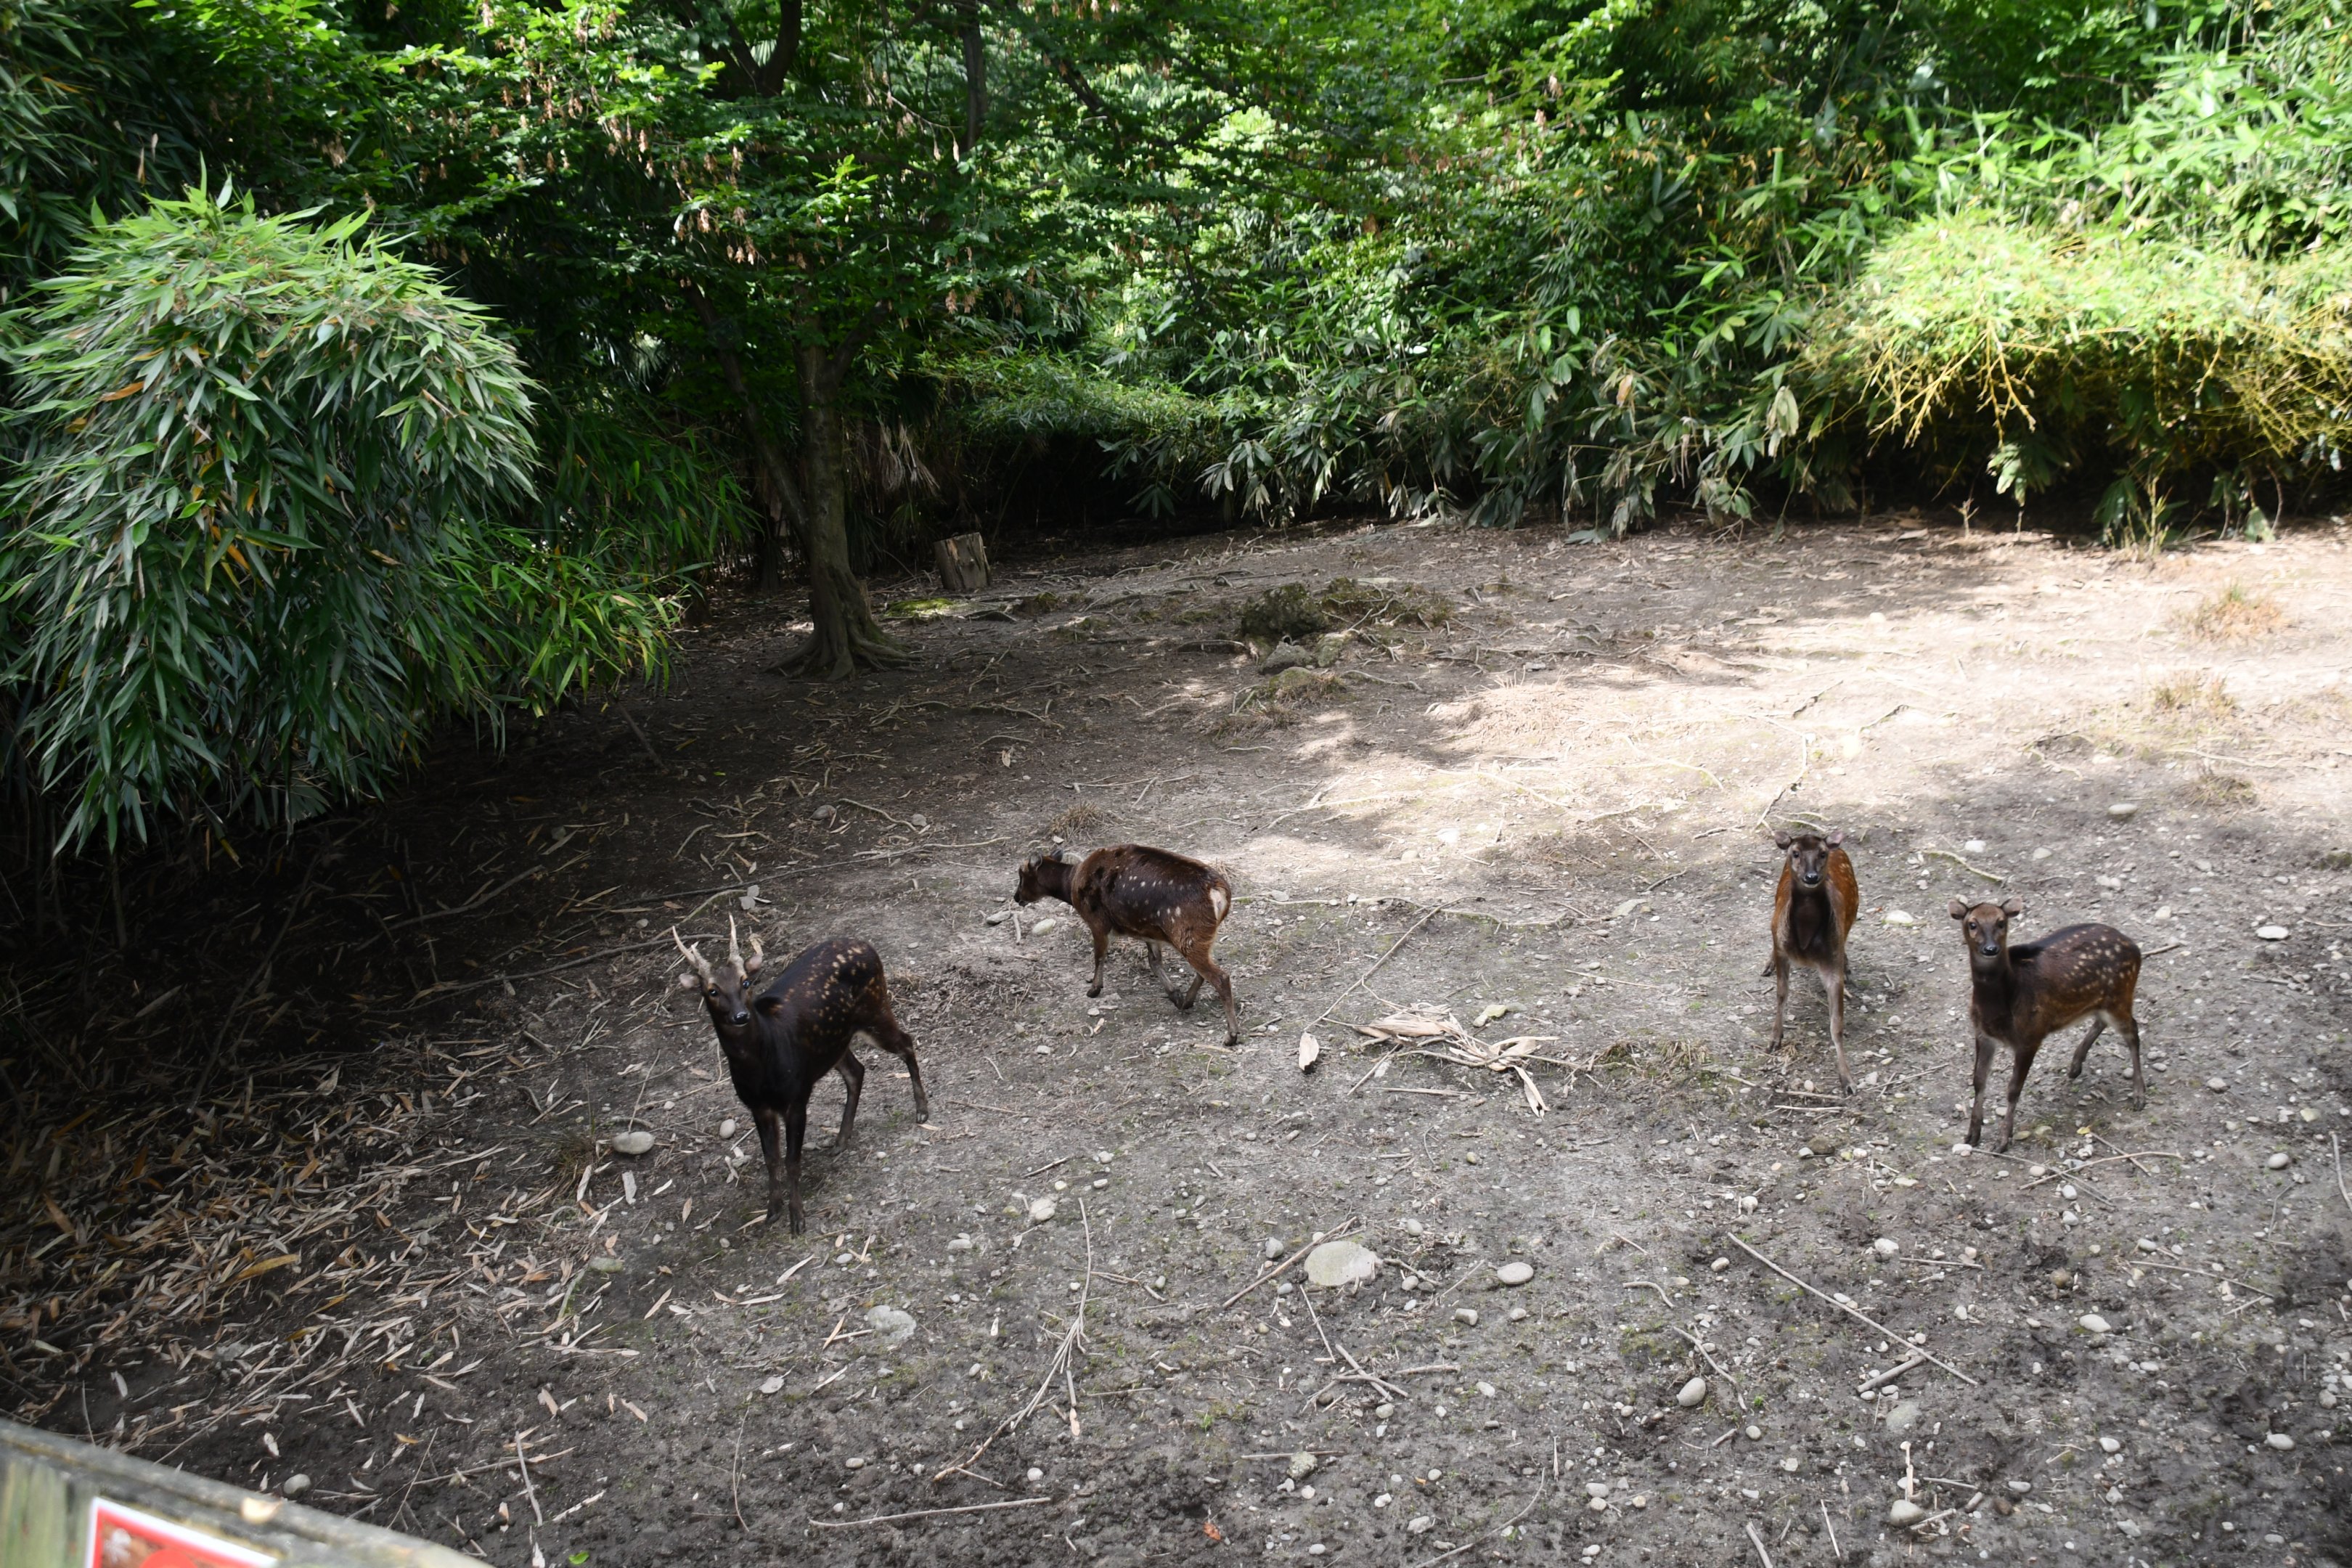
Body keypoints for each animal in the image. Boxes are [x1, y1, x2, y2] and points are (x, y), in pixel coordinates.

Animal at [675, 920, 929, 1232]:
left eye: (745, 982)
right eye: (711, 990)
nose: (741, 1016)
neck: (762, 1068)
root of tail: (866, 945)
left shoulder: (797, 1097)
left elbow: (792, 1161)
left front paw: (798, 1218)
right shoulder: (757, 1107)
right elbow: (771, 1159)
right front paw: (772, 1210)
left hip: (875, 1009)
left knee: (906, 1042)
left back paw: (922, 1110)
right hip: (833, 1044)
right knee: (857, 1071)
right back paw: (840, 1141)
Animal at [1014, 844, 1241, 1045]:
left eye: (1021, 875)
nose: (1016, 898)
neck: (1071, 886)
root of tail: (1219, 893)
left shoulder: (1097, 921)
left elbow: (1099, 956)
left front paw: (1094, 989)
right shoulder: (1149, 933)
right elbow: (1154, 962)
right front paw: (1175, 994)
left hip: (1189, 935)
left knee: (1220, 977)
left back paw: (1231, 1036)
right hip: (1202, 937)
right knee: (1204, 972)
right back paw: (1186, 1002)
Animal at [1767, 828, 1860, 1092]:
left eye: (1822, 853)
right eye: (1796, 853)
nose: (1811, 876)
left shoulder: (1831, 961)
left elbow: (1837, 1025)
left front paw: (1847, 1079)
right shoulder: (1781, 947)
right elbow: (1781, 994)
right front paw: (1775, 1038)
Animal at [1949, 898, 2144, 1151]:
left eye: (2001, 922)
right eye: (1972, 924)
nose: (1991, 949)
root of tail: (2135, 948)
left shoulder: (2031, 1035)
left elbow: (2013, 1089)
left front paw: (2003, 1141)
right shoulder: (1982, 1033)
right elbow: (1979, 1081)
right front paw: (1972, 1134)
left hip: (2121, 994)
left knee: (2133, 1031)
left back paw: (2139, 1095)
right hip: (2103, 1001)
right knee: (2103, 1021)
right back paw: (2075, 1066)